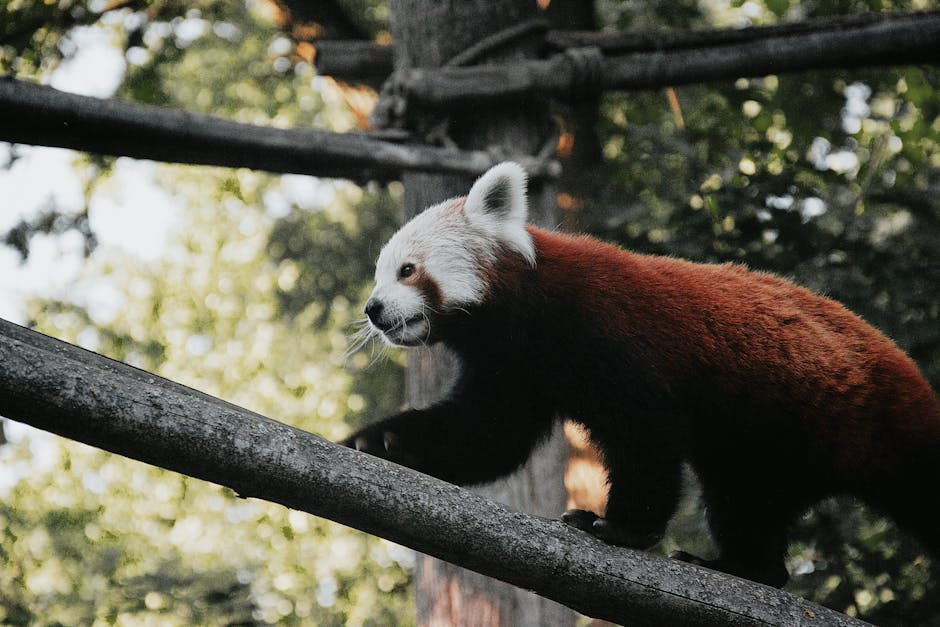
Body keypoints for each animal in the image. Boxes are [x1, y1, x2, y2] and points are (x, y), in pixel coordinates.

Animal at [342, 161, 940, 587]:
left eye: (407, 270)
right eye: (378, 276)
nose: (373, 309)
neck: (529, 313)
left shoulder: (610, 335)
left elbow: (645, 431)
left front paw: (619, 527)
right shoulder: (516, 367)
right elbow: (487, 434)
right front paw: (380, 441)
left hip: (853, 417)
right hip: (768, 450)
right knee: (746, 503)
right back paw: (745, 567)